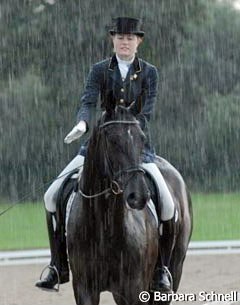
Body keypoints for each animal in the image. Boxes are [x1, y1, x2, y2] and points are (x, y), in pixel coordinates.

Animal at [66, 102, 193, 304]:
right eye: (112, 140)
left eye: (142, 138)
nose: (138, 196)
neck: (104, 225)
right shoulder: (84, 288)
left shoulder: (133, 289)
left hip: (174, 269)